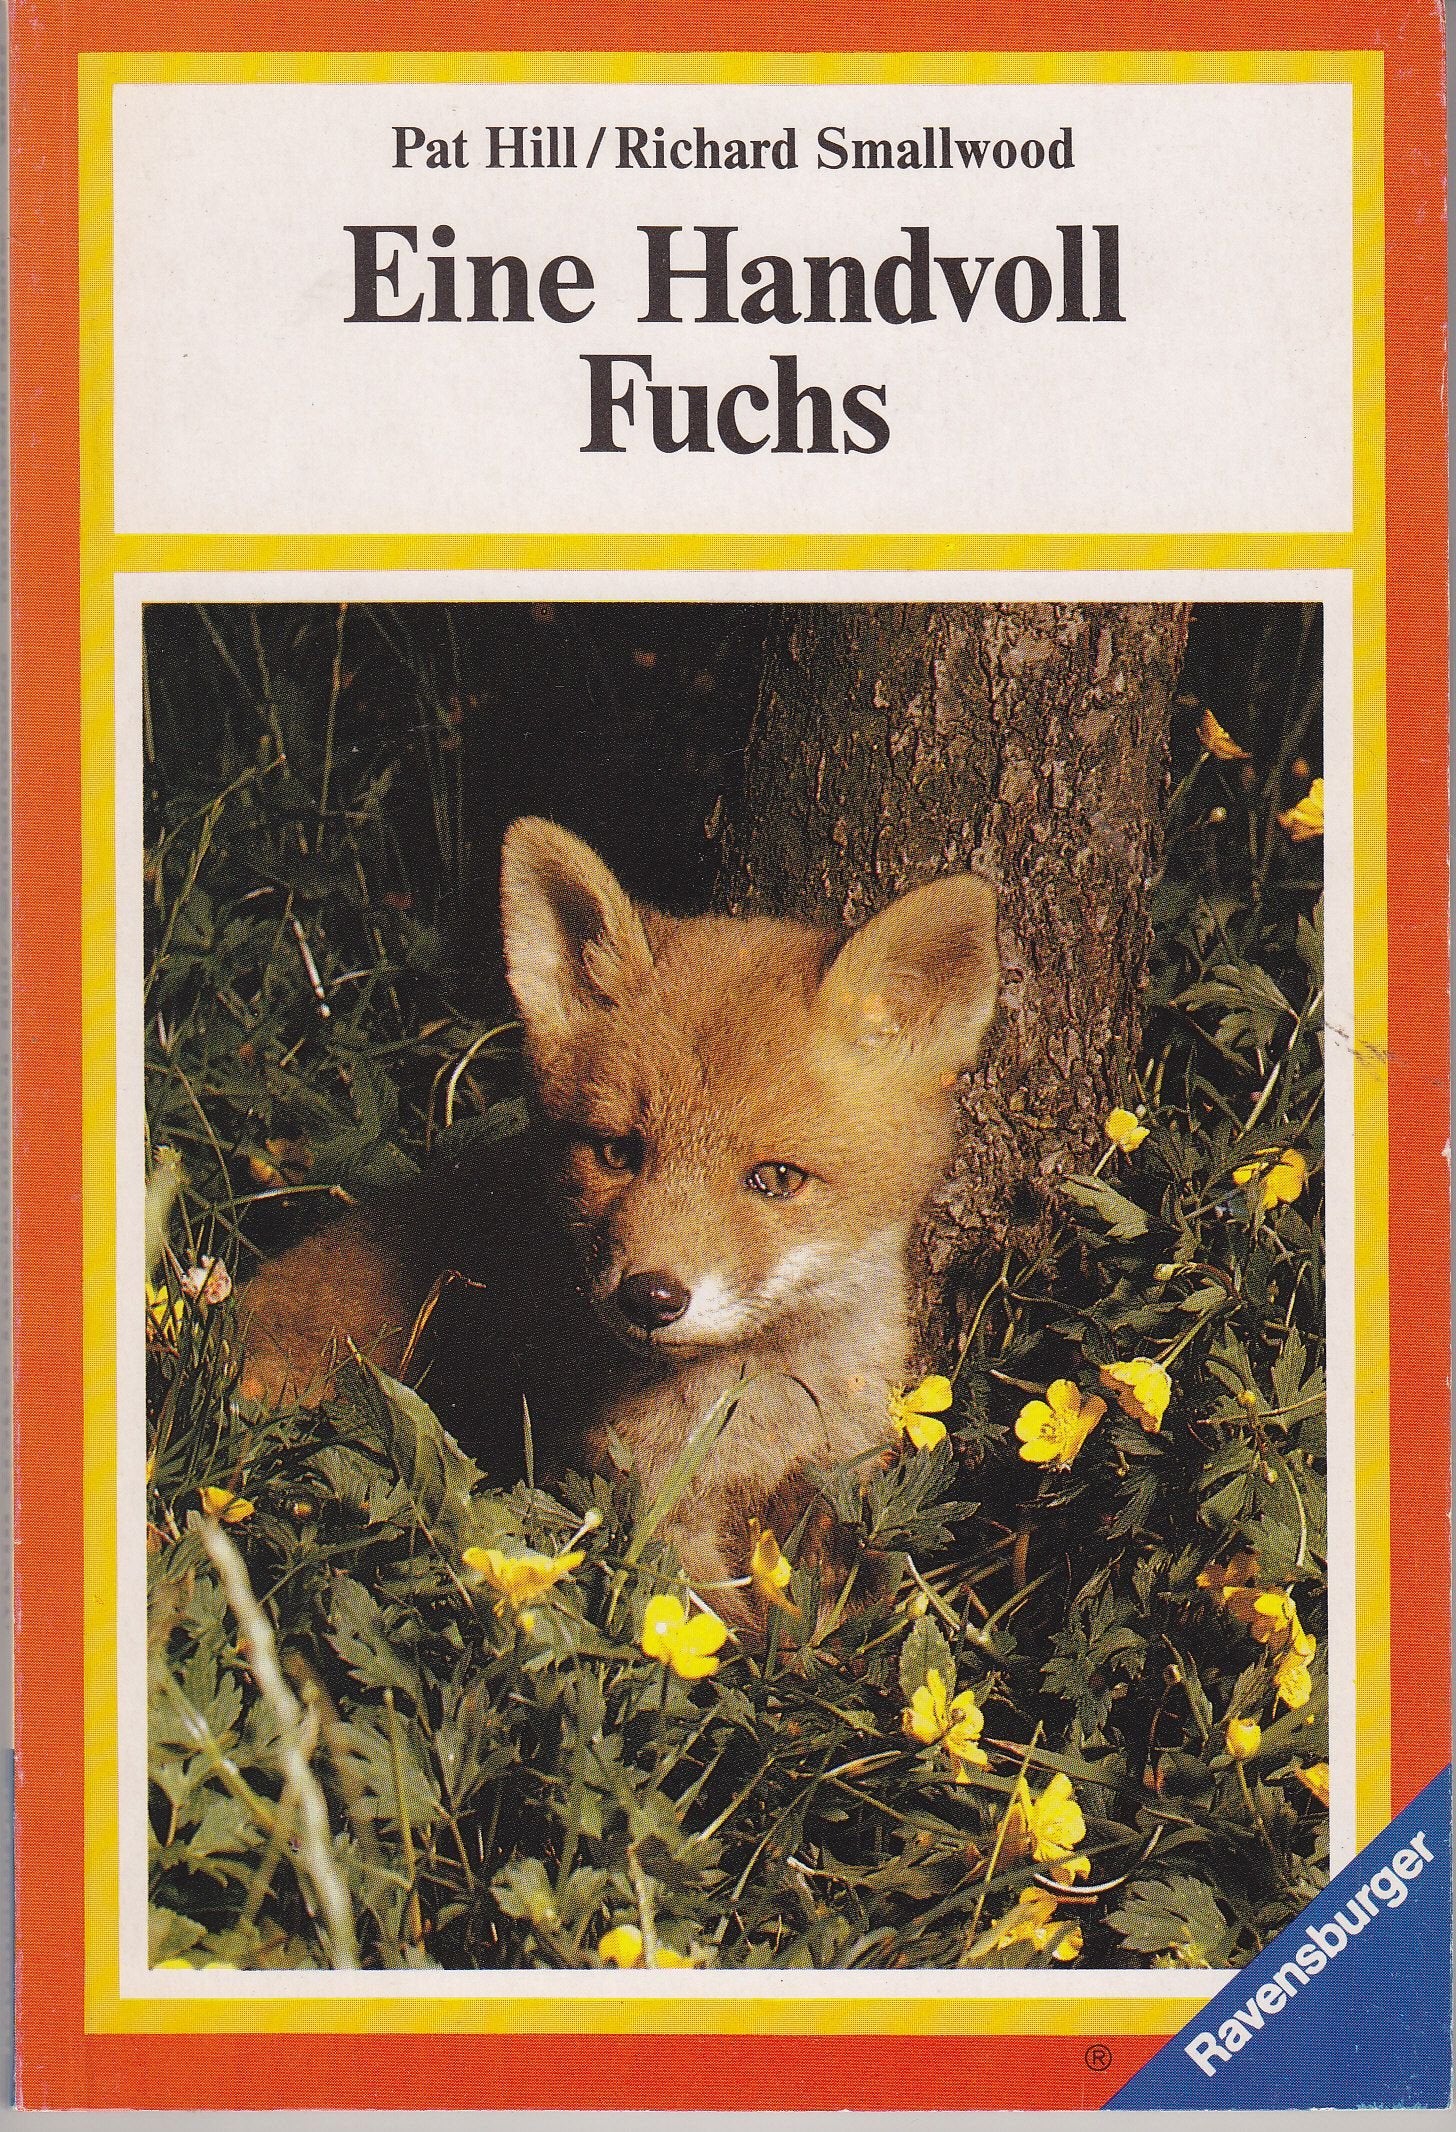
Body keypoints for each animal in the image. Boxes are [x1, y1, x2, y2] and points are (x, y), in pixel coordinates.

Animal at [238, 816, 999, 1610]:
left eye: (776, 1178)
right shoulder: (655, 1511)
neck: (758, 1420)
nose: (650, 1296)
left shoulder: (834, 1487)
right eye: (617, 1153)